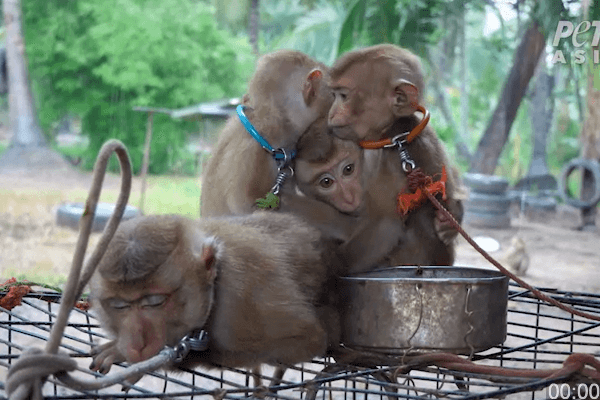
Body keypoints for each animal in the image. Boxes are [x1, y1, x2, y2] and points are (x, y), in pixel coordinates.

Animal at [328, 43, 464, 272]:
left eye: (344, 96)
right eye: (334, 96)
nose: (330, 113)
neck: (386, 138)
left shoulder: (414, 147)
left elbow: (388, 221)